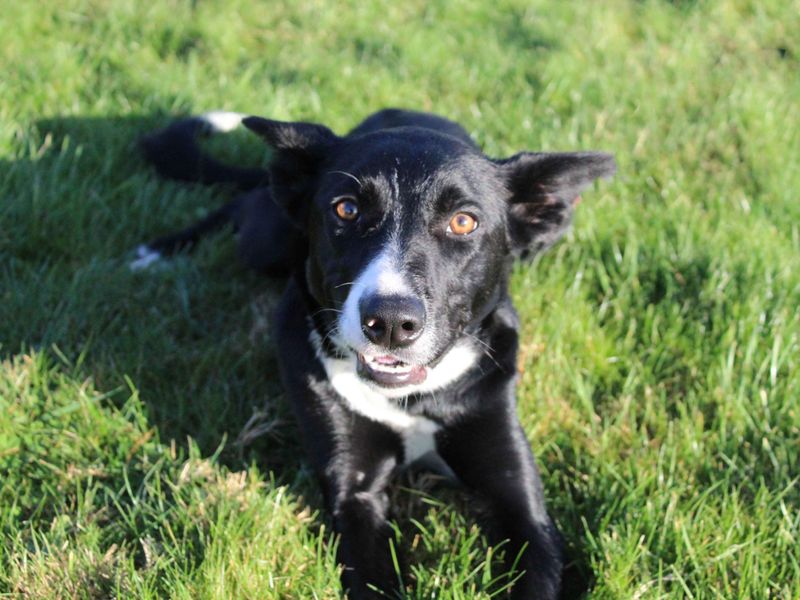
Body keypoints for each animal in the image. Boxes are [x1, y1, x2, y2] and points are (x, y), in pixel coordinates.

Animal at [138, 109, 616, 600]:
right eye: (346, 209)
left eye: (464, 222)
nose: (389, 322)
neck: (408, 398)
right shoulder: (355, 491)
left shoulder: (517, 496)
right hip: (266, 242)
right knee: (241, 207)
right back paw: (158, 250)